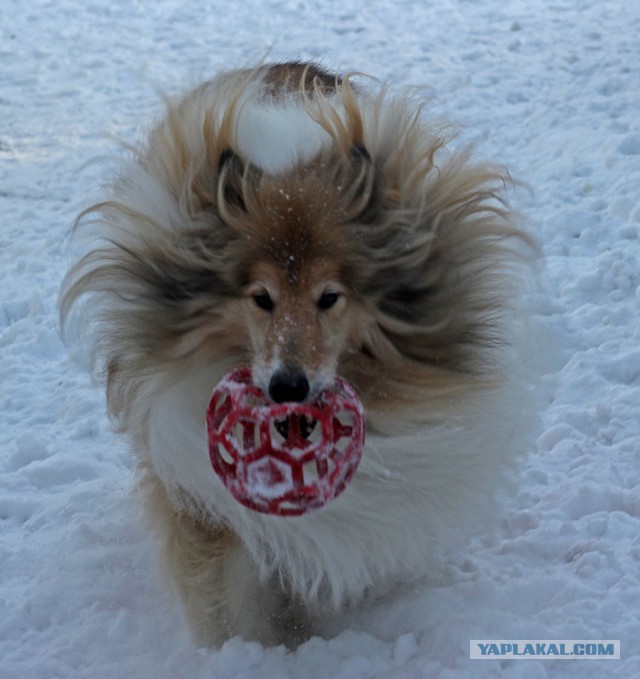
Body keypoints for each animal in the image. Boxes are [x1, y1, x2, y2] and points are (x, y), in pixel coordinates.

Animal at [61, 62, 540, 648]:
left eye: (329, 297)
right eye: (260, 297)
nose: (288, 386)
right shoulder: (203, 493)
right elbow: (232, 583)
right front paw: (254, 648)